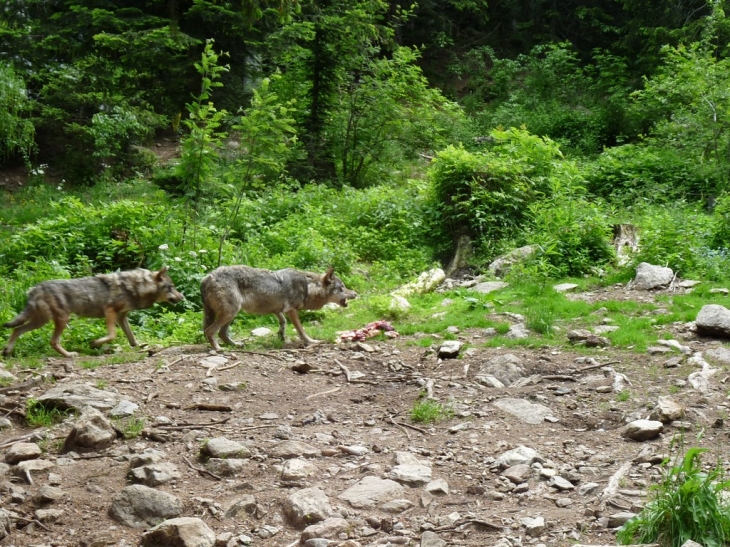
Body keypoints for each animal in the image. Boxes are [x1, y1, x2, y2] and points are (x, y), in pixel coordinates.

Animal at [2, 266, 183, 360]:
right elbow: (112, 335)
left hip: (41, 321)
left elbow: (132, 338)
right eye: (171, 287)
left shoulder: (121, 317)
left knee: (16, 329)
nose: (182, 297)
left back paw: (7, 351)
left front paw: (139, 347)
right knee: (52, 341)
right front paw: (95, 344)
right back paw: (69, 355)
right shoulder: (110, 312)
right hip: (61, 319)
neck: (136, 287)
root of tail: (36, 288)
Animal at [200, 266, 356, 352]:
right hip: (230, 312)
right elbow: (301, 330)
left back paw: (236, 345)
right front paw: (311, 341)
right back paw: (218, 349)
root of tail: (207, 277)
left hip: (232, 313)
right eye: (342, 288)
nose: (355, 293)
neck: (308, 287)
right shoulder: (291, 310)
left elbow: (283, 322)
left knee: (222, 333)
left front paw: (281, 336)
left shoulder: (278, 310)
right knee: (210, 331)